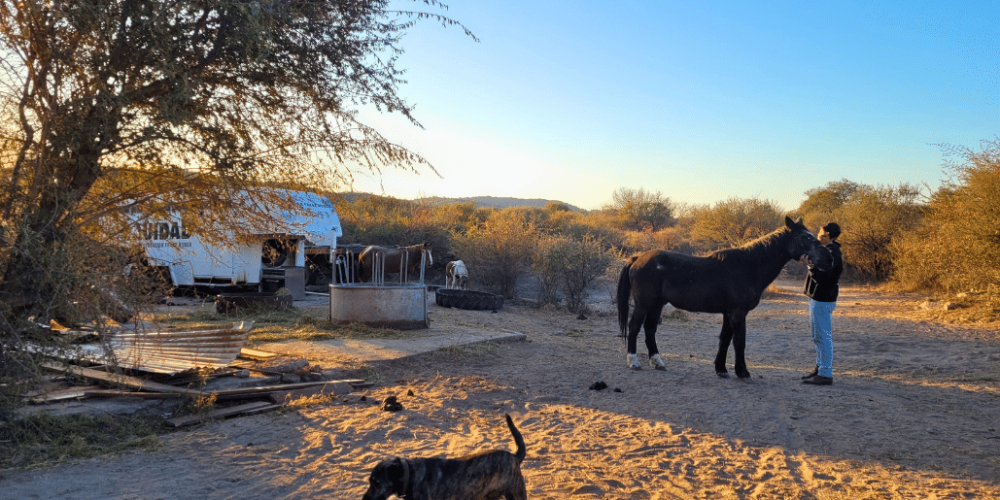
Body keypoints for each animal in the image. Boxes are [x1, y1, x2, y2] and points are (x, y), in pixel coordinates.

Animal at [364, 414, 528, 500]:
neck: (412, 475)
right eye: (370, 482)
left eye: (376, 483)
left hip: (516, 495)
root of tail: (514, 457)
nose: (364, 499)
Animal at [612, 218, 832, 378]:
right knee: (634, 327)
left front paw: (721, 369)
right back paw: (633, 362)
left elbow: (725, 339)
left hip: (657, 304)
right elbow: (739, 341)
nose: (828, 259)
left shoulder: (729, 312)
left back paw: (657, 362)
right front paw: (742, 372)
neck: (748, 267)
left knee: (650, 330)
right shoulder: (738, 312)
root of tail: (637, 258)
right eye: (804, 237)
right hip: (644, 304)